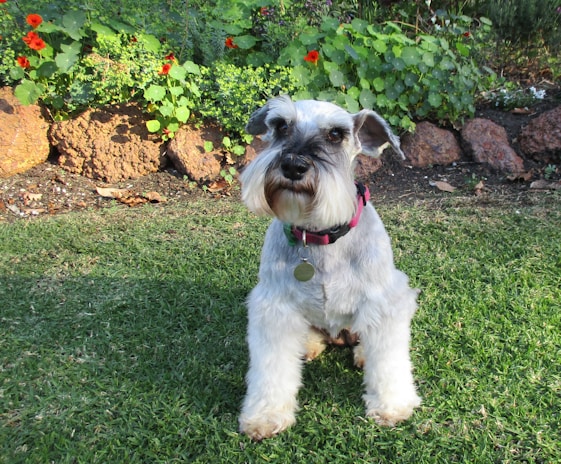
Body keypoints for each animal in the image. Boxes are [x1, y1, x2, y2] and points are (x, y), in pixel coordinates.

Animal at [238, 95, 421, 440]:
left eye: (336, 134)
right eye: (280, 126)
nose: (293, 165)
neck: (319, 235)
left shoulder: (384, 303)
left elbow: (389, 361)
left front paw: (391, 405)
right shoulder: (274, 309)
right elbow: (271, 368)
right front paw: (266, 416)